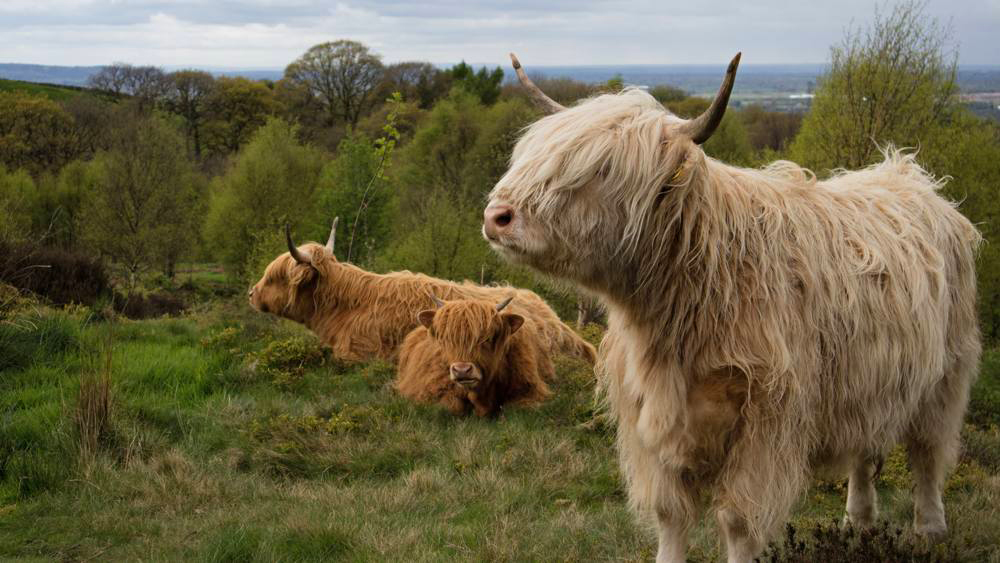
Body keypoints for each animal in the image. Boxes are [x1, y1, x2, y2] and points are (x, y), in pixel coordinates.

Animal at [396, 298, 556, 416]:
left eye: (487, 338)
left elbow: (513, 408)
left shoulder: (529, 392)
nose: (462, 370)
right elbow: (452, 406)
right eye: (447, 339)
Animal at [484, 53, 984, 563]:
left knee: (927, 452)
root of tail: (906, 172)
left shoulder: (766, 423)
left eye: (602, 168)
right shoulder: (654, 418)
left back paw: (930, 528)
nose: (496, 216)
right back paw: (858, 522)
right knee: (865, 448)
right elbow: (670, 514)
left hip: (946, 374)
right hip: (869, 379)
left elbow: (737, 521)